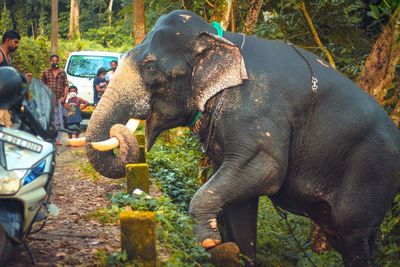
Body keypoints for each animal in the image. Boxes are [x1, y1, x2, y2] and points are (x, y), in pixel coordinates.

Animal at [86, 9, 400, 266]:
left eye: (151, 68)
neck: (222, 39)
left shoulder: (257, 110)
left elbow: (266, 170)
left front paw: (209, 242)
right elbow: (239, 202)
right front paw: (233, 250)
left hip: (372, 172)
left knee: (351, 234)